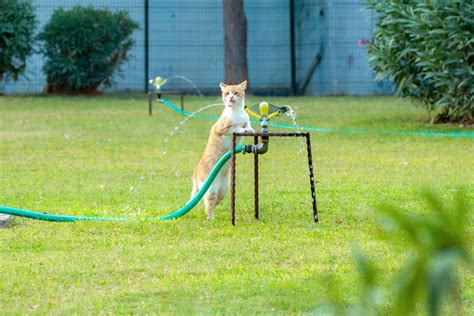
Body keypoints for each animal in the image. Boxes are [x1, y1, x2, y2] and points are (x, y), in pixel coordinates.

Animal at [191, 81, 254, 220]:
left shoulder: (246, 120)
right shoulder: (223, 128)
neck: (237, 111)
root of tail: (196, 170)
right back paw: (211, 219)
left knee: (214, 202)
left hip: (223, 189)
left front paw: (250, 129)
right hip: (211, 189)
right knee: (208, 204)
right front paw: (243, 129)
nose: (230, 98)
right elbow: (236, 127)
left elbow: (247, 124)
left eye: (235, 93)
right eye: (227, 93)